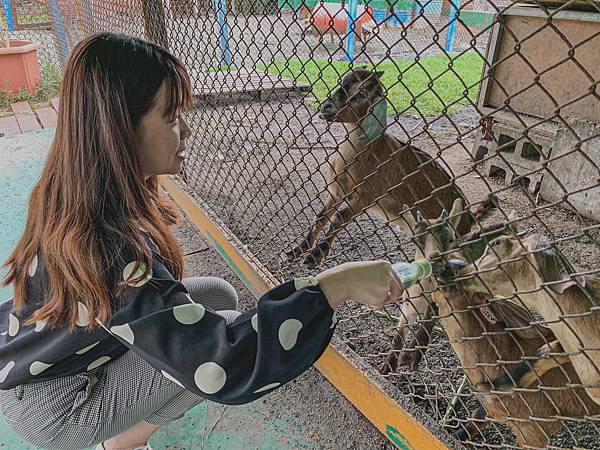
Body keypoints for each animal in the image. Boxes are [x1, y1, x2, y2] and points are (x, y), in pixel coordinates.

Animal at [288, 68, 488, 268]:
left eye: (363, 93)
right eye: (343, 79)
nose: (326, 107)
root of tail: (469, 216)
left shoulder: (365, 197)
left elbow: (339, 218)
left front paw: (315, 256)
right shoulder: (337, 192)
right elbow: (321, 217)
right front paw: (298, 250)